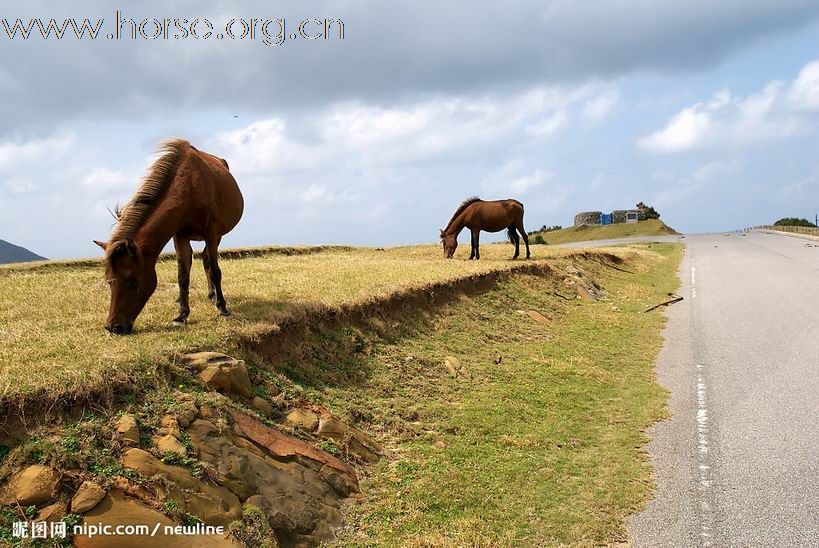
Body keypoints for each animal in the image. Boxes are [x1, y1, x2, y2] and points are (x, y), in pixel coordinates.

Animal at [94, 138, 243, 334]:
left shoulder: (211, 232)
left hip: (217, 236)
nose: (113, 327)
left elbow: (215, 270)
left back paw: (213, 297)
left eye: (133, 280)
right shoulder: (179, 235)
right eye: (109, 281)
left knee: (207, 261)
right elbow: (182, 276)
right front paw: (182, 315)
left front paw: (223, 308)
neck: (189, 186)